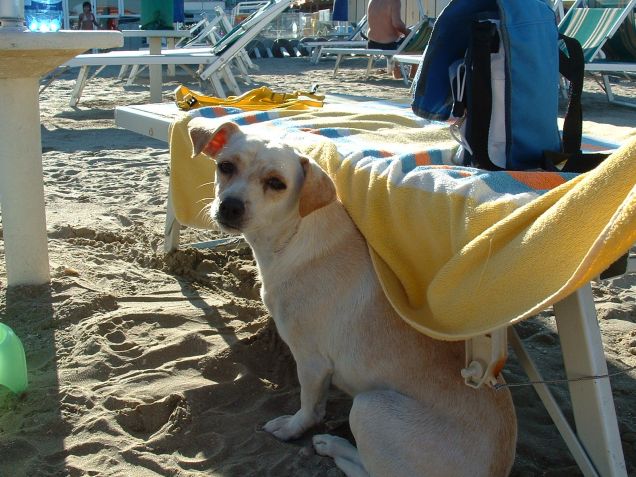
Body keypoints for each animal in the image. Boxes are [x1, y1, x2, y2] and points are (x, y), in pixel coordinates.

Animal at [189, 119, 516, 476]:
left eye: (276, 183)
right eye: (225, 167)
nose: (230, 206)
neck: (291, 237)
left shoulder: (311, 360)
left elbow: (310, 409)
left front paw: (291, 428)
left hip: (369, 406)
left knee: (367, 470)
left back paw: (333, 445)